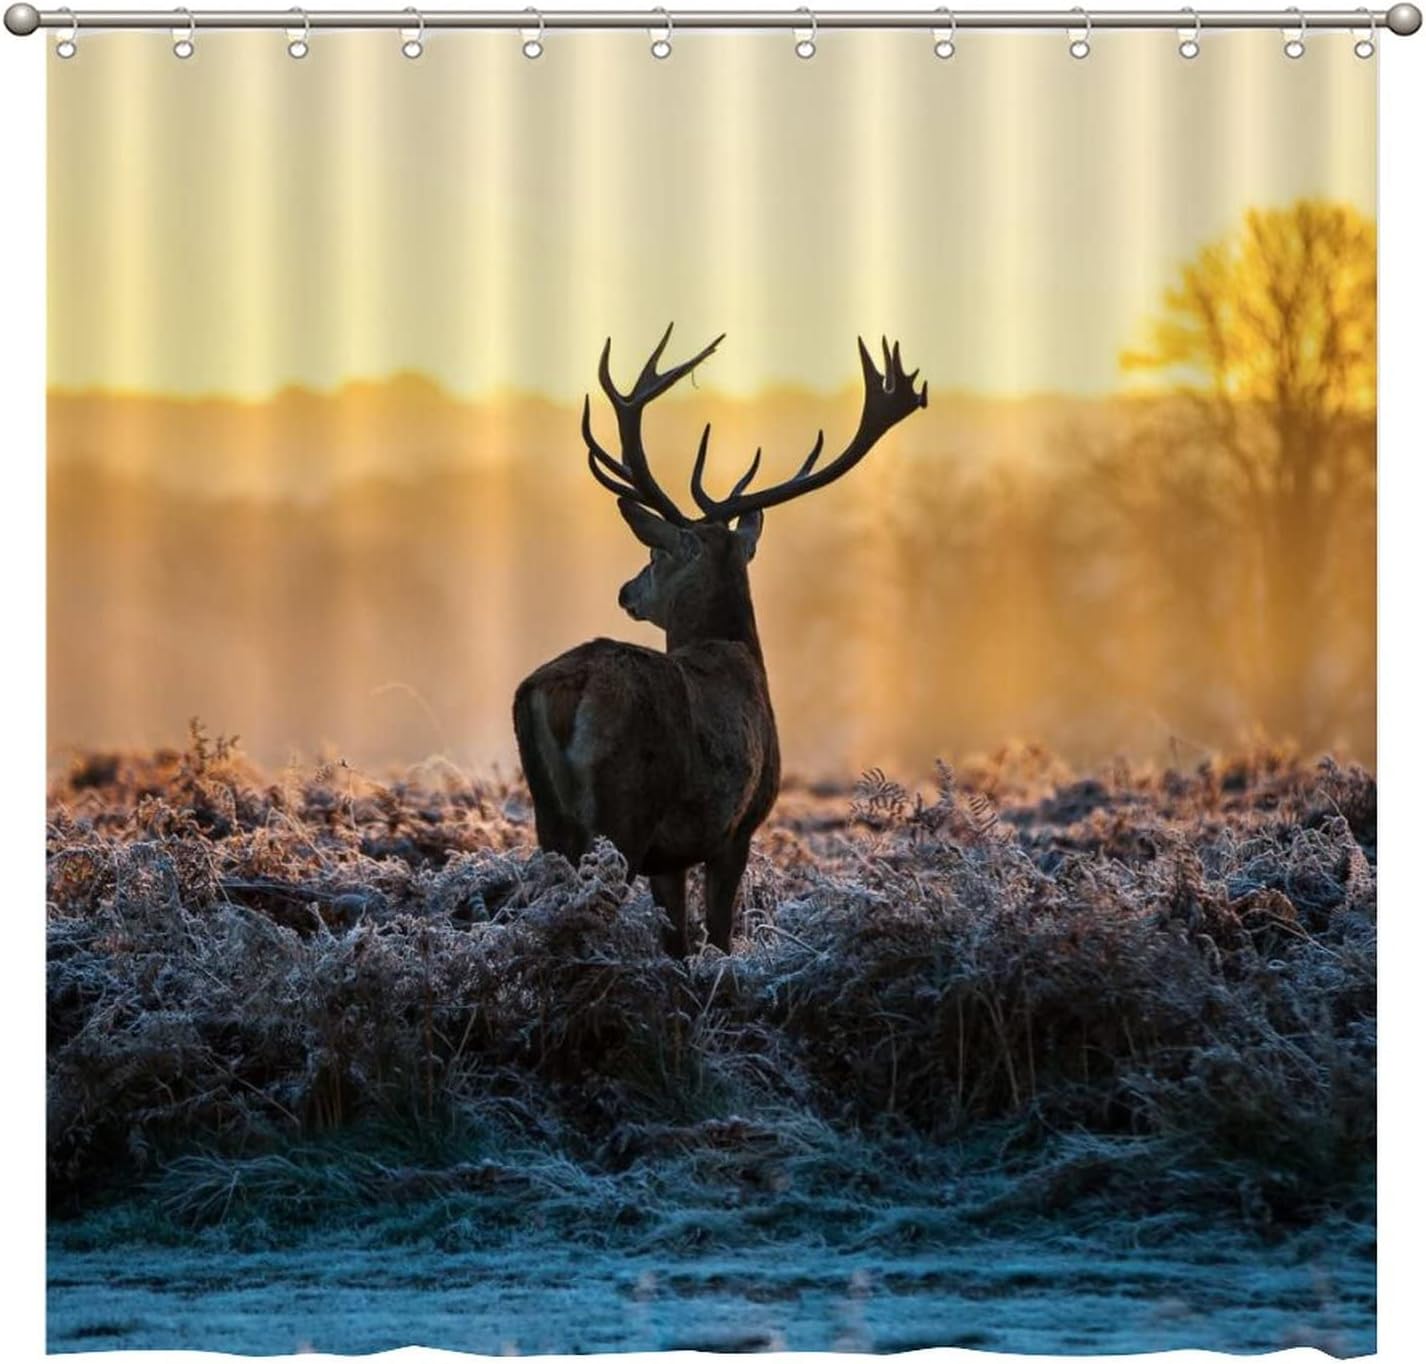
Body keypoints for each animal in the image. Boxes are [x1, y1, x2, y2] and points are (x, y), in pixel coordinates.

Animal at [513, 325, 927, 956]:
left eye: (654, 553)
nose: (626, 591)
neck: (736, 652)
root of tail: (565, 690)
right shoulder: (736, 828)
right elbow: (718, 937)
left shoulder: (672, 856)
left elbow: (678, 942)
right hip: (625, 811)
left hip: (551, 819)